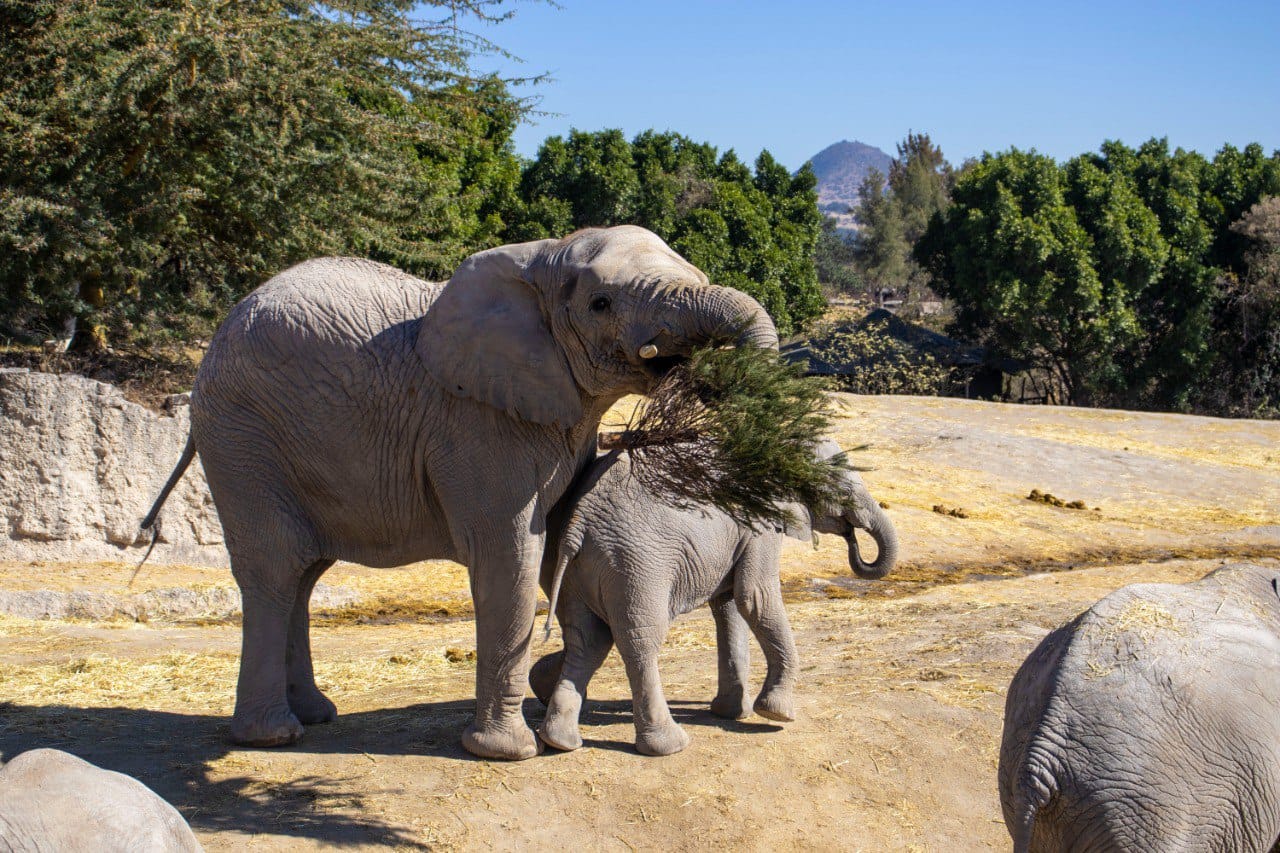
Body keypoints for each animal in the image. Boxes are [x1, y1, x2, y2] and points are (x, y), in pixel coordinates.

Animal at [144, 225, 773, 758]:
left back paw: (318, 714)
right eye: (601, 304)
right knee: (275, 568)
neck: (542, 257)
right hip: (243, 437)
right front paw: (508, 751)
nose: (711, 376)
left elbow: (557, 541)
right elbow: (511, 555)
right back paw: (272, 736)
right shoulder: (477, 421)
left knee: (305, 572)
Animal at [524, 438, 896, 753]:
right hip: (636, 562)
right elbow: (755, 597)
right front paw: (776, 714)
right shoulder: (760, 522)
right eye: (844, 488)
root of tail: (579, 522)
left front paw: (731, 713)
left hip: (569, 565)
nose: (853, 538)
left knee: (589, 639)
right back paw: (668, 746)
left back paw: (558, 737)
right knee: (640, 641)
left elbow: (730, 606)